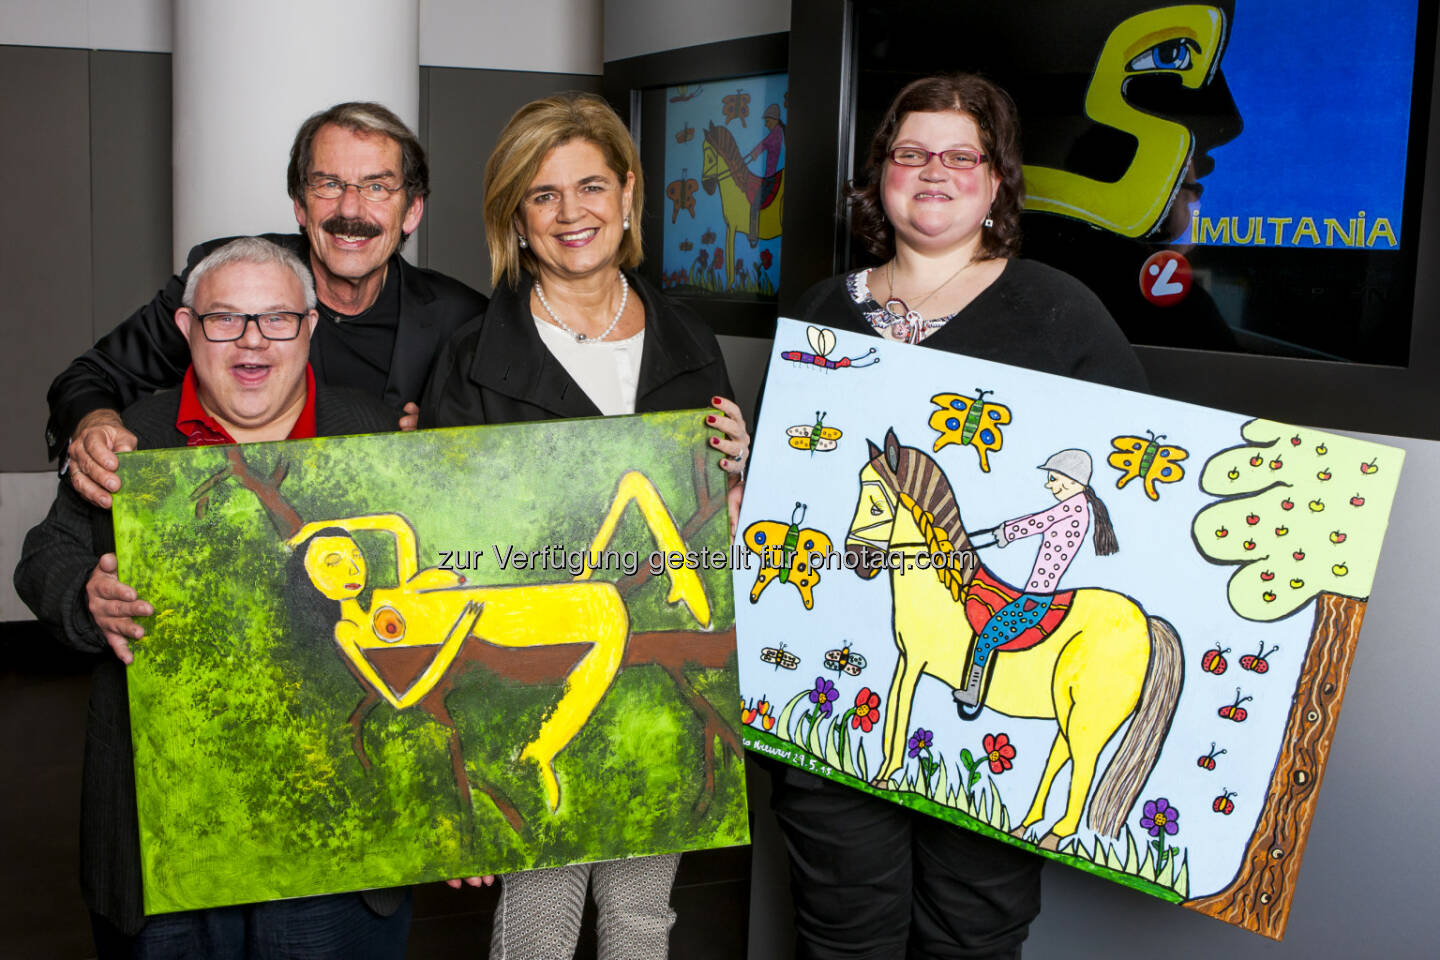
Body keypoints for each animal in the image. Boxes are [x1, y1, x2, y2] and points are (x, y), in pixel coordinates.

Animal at [288, 469, 708, 817]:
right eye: (332, 561)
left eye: (352, 558)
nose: (354, 574)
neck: (362, 607)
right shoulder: (345, 636)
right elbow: (400, 698)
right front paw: (463, 621)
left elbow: (400, 529)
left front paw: (307, 530)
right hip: (572, 611)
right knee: (606, 629)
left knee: (632, 483)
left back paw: (694, 598)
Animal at [699, 123, 783, 289]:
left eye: (710, 157)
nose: (707, 187)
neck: (738, 188)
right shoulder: (729, 227)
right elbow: (728, 261)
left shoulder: (733, 227)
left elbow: (731, 264)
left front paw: (729, 288)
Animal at [840, 431, 1180, 852]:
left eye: (875, 503)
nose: (855, 558)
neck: (942, 587)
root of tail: (1145, 621)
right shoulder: (904, 660)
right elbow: (891, 716)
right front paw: (881, 773)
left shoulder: (916, 662)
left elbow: (900, 716)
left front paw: (885, 778)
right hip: (1068, 709)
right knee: (1060, 756)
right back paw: (1023, 827)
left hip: (1091, 715)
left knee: (1084, 767)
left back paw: (1054, 836)